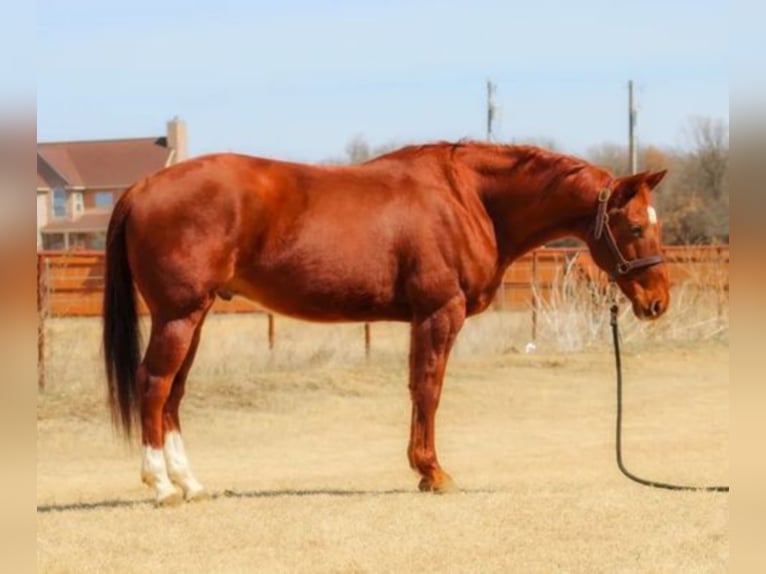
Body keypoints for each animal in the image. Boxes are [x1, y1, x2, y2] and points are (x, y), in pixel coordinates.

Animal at [103, 142, 672, 506]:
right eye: (634, 226)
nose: (658, 302)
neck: (468, 199)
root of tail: (141, 188)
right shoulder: (439, 313)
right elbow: (428, 388)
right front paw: (433, 472)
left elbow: (420, 388)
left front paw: (425, 470)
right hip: (178, 316)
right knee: (154, 386)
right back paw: (160, 486)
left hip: (194, 317)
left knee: (173, 393)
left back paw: (190, 484)